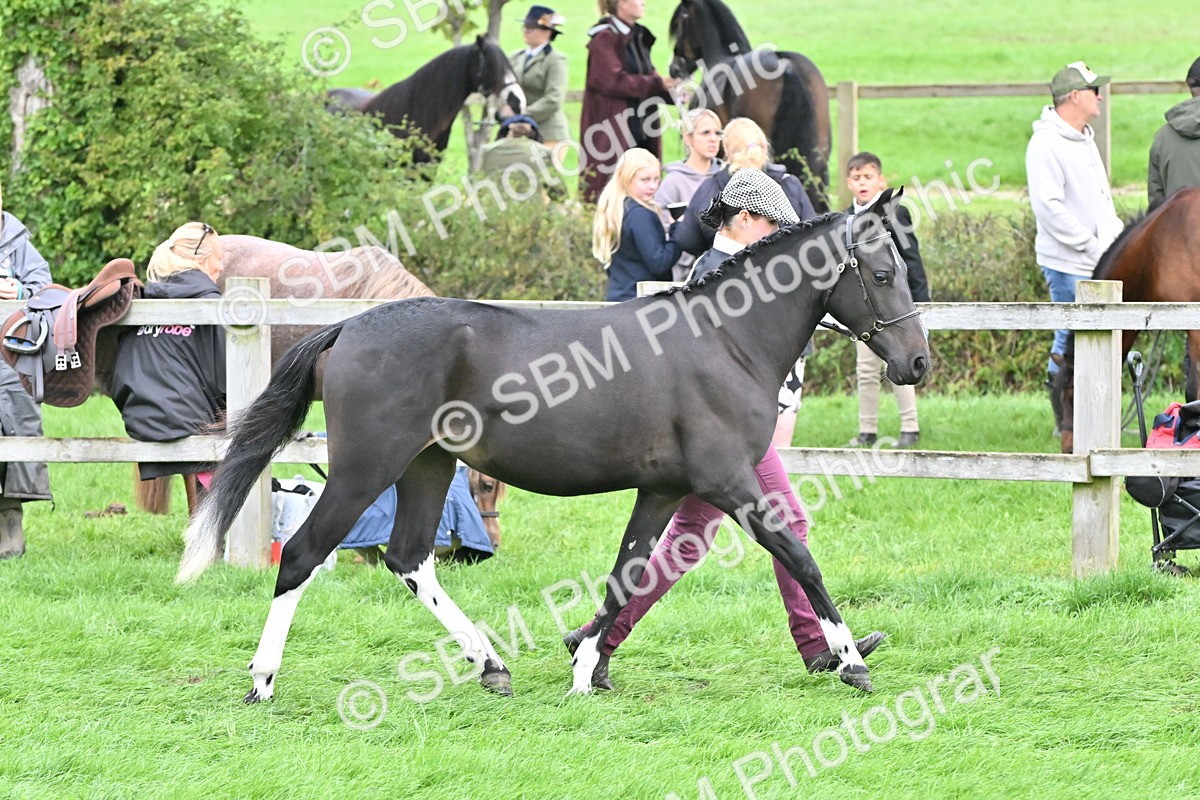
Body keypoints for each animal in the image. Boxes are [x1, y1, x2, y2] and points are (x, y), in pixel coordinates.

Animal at [175, 189, 929, 703]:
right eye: (882, 273)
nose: (917, 363)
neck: (722, 340)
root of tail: (346, 328)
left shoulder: (663, 489)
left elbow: (629, 573)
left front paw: (585, 666)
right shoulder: (728, 482)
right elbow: (799, 557)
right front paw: (851, 660)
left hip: (427, 465)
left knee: (411, 559)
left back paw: (491, 666)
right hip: (366, 468)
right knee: (304, 554)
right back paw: (263, 681)